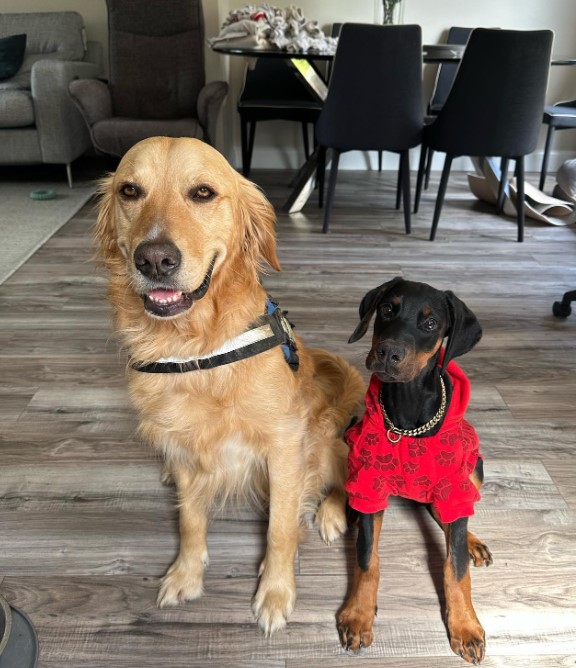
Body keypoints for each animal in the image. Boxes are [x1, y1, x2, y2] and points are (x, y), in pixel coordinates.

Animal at [340, 276, 492, 664]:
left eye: (430, 323)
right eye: (387, 309)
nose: (388, 353)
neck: (408, 417)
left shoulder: (453, 484)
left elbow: (456, 567)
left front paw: (465, 626)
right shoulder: (370, 481)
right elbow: (367, 559)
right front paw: (358, 616)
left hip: (473, 464)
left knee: (451, 515)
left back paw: (471, 540)